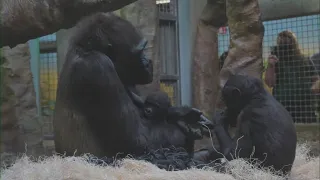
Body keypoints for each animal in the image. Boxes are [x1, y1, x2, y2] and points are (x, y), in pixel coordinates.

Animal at [52, 12, 205, 158]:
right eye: (140, 51)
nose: (148, 62)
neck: (86, 50)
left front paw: (180, 113)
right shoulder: (97, 67)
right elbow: (137, 141)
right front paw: (184, 126)